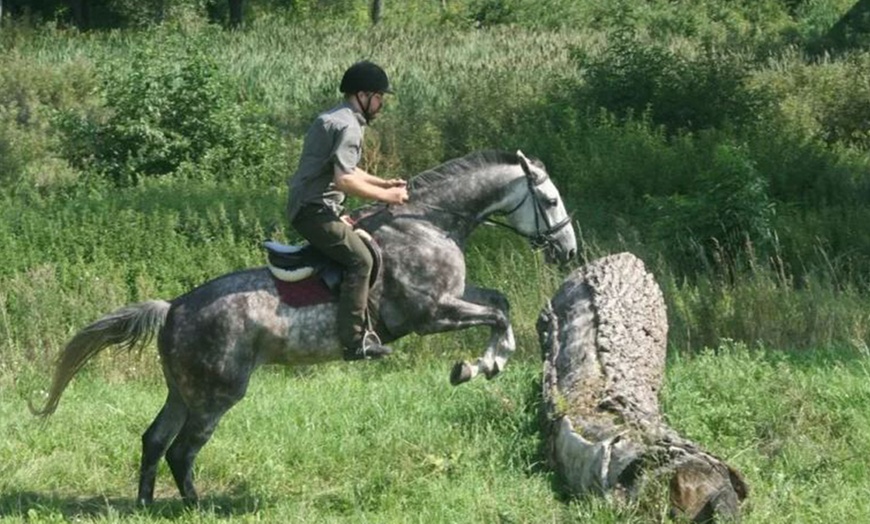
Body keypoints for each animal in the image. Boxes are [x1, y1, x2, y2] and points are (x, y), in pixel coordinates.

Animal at [30, 148, 580, 508]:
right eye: (551, 201)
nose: (568, 251)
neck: (429, 223)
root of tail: (175, 308)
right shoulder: (430, 313)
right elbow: (498, 314)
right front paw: (479, 365)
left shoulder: (452, 299)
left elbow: (499, 301)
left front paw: (488, 360)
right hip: (217, 393)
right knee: (182, 450)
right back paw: (196, 505)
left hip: (184, 389)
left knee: (154, 440)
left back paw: (146, 506)